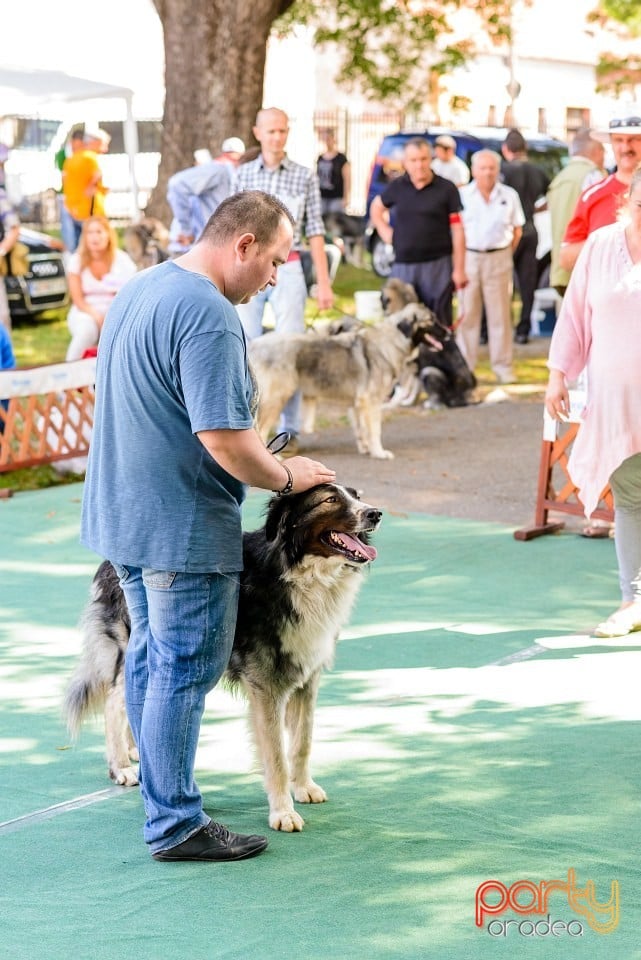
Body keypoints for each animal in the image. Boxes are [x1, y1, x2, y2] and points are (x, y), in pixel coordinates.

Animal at [65, 488, 380, 832]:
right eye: (329, 500)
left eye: (356, 495)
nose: (375, 513)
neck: (296, 572)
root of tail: (109, 562)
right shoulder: (265, 686)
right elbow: (276, 757)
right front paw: (283, 812)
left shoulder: (307, 676)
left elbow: (302, 742)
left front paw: (303, 787)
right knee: (113, 702)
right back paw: (120, 766)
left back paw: (137, 751)